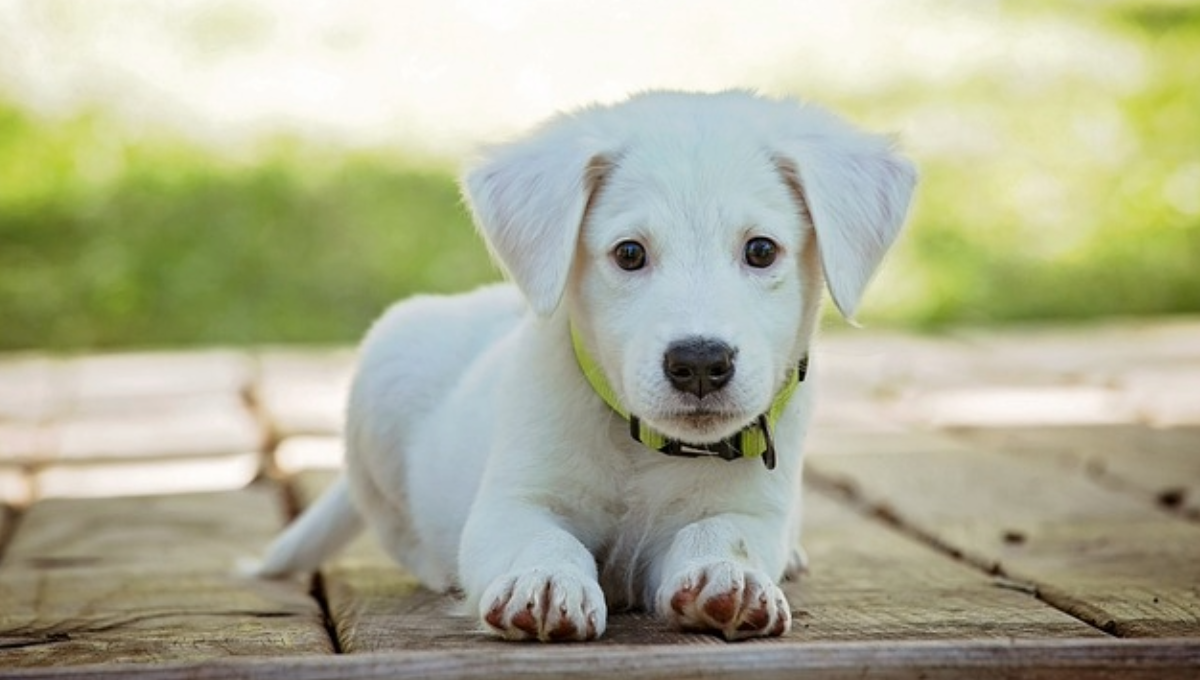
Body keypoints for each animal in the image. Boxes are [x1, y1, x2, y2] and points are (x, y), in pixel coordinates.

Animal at [260, 90, 916, 642]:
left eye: (761, 250)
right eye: (629, 254)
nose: (700, 363)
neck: (644, 448)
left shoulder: (751, 510)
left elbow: (721, 533)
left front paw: (728, 577)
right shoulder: (513, 502)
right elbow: (541, 539)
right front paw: (545, 581)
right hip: (384, 377)